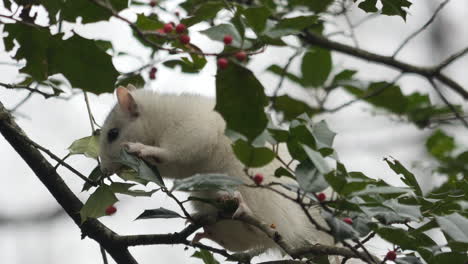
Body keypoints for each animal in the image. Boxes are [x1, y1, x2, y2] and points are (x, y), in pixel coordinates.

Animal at [99, 85, 332, 256]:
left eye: (113, 134)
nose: (104, 170)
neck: (158, 119)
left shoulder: (191, 128)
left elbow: (175, 151)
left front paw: (142, 149)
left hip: (258, 194)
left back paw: (240, 206)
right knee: (241, 242)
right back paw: (208, 231)